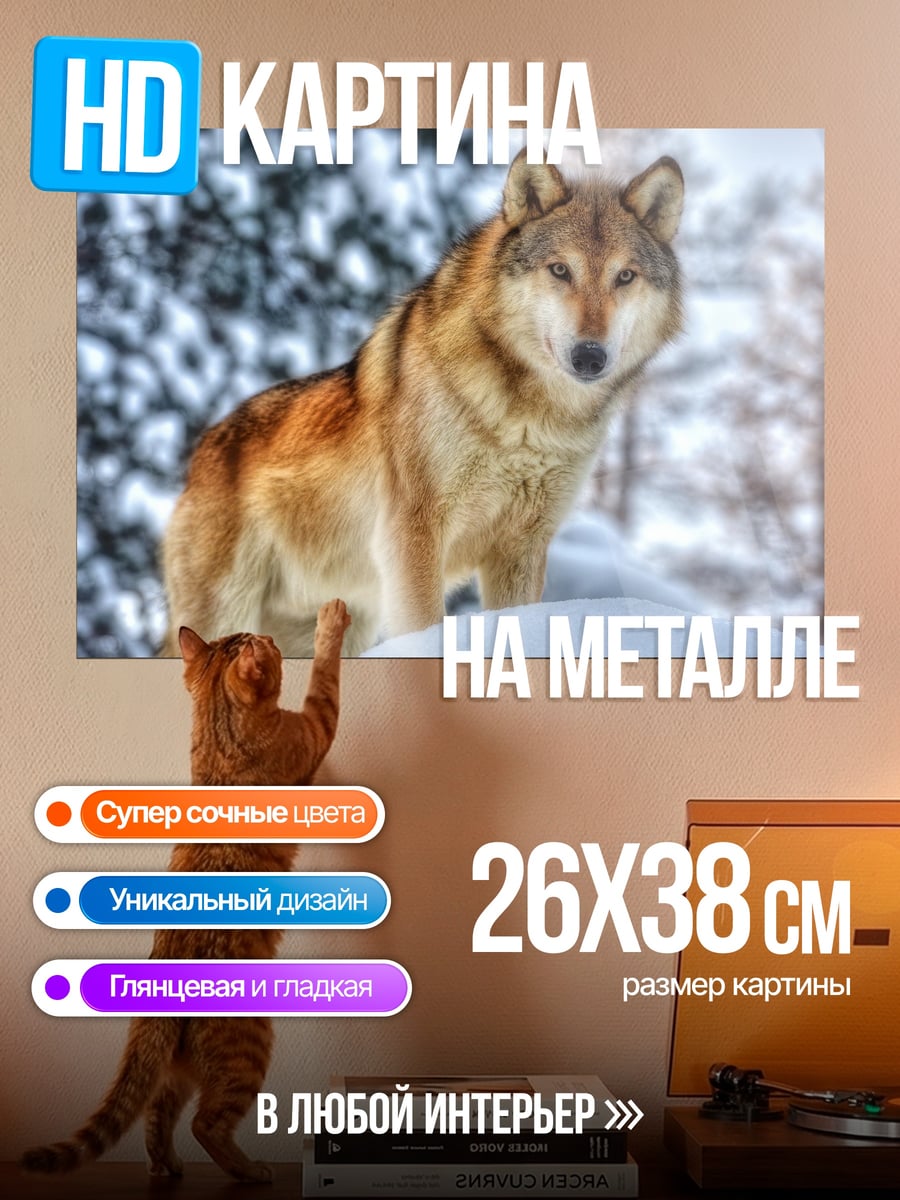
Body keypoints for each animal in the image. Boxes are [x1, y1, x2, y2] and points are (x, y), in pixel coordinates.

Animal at [162, 151, 684, 656]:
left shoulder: (522, 547)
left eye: (624, 277)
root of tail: (202, 451)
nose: (590, 356)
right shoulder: (413, 534)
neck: (530, 424)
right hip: (228, 610)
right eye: (560, 270)